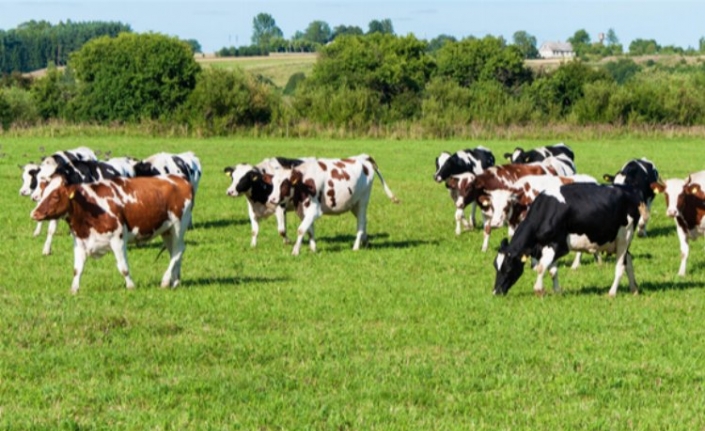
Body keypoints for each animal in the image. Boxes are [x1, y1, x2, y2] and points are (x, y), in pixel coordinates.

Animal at [30, 174, 194, 296]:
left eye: (55, 196)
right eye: (43, 194)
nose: (34, 213)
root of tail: (180, 180)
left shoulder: (118, 239)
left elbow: (123, 267)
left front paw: (131, 286)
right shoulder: (80, 241)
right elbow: (77, 269)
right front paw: (74, 289)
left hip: (179, 226)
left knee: (178, 250)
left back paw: (166, 281)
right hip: (167, 230)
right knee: (175, 252)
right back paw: (176, 281)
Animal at [266, 156, 398, 255]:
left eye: (284, 184)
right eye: (273, 183)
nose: (272, 199)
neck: (304, 183)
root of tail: (363, 157)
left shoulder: (314, 210)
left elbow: (301, 230)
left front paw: (295, 251)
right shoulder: (303, 211)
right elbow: (310, 231)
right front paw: (313, 249)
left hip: (363, 201)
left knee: (360, 223)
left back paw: (356, 247)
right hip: (354, 204)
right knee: (364, 221)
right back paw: (365, 242)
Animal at [492, 184, 640, 298]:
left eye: (508, 269)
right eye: (495, 266)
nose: (495, 292)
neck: (547, 211)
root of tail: (630, 192)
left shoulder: (558, 246)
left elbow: (541, 268)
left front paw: (539, 290)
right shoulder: (547, 247)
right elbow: (552, 271)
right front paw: (557, 291)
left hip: (624, 237)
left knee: (620, 266)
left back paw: (612, 293)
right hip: (617, 242)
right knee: (629, 261)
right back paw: (634, 289)